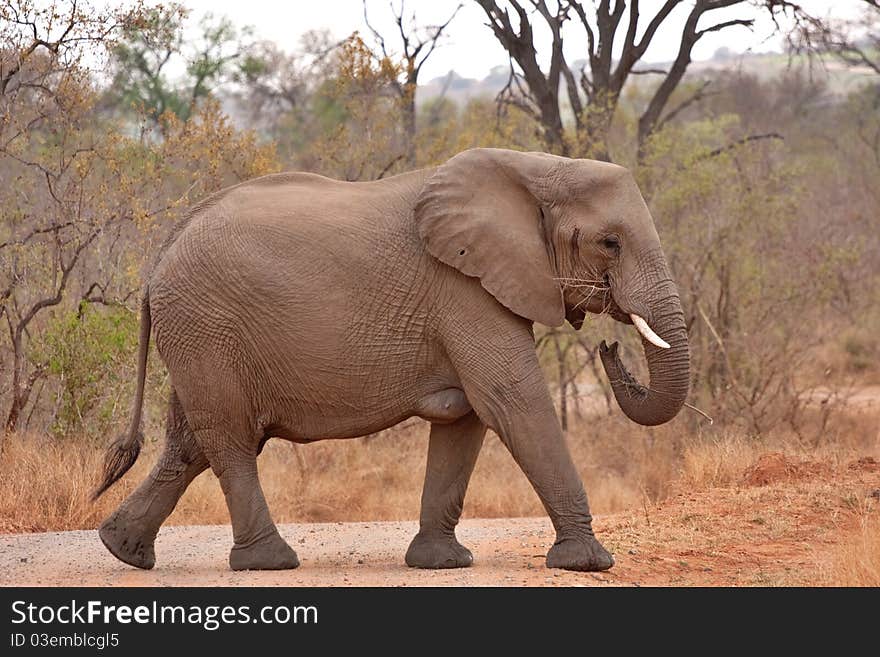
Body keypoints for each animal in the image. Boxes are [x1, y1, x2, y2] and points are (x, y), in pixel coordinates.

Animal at [93, 147, 692, 568]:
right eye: (610, 243)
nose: (610, 345)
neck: (536, 167)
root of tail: (161, 254)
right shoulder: (464, 290)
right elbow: (510, 402)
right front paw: (588, 563)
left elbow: (467, 419)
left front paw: (442, 563)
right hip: (205, 326)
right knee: (231, 438)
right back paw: (270, 562)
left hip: (196, 333)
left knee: (190, 442)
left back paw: (123, 551)